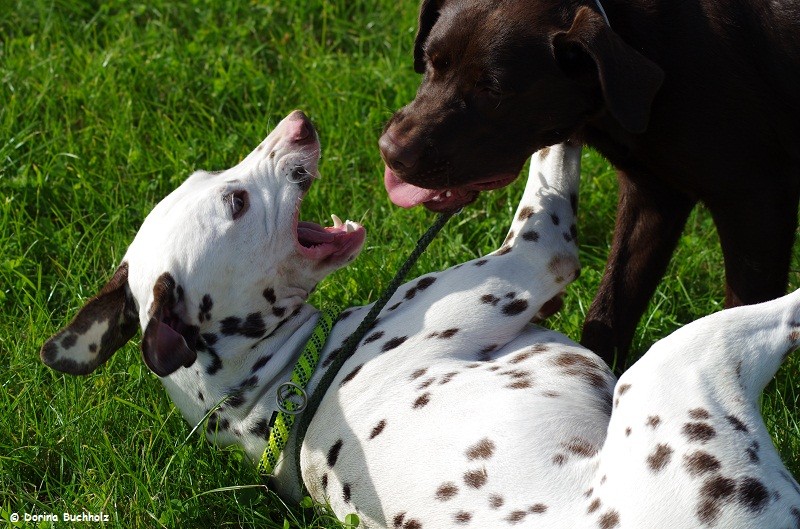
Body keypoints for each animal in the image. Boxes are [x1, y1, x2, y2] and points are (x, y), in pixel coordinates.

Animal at [40, 112, 800, 528]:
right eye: (235, 201)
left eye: (211, 177)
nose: (298, 121)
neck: (285, 382)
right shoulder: (534, 255)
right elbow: (546, 167)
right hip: (680, 363)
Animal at [380, 0, 800, 368]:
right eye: (429, 61)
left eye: (492, 90)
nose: (389, 153)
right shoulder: (654, 194)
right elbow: (611, 308)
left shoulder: (755, 202)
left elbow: (742, 312)